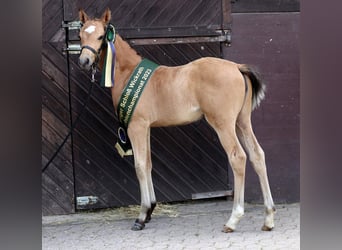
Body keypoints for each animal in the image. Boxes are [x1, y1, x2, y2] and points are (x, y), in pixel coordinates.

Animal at [77, 7, 276, 233]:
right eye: (80, 35)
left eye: (101, 36)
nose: (84, 61)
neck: (128, 73)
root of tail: (237, 67)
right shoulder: (146, 128)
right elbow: (148, 164)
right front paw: (150, 210)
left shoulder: (136, 126)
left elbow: (139, 165)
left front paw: (141, 216)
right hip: (242, 122)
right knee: (257, 155)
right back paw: (268, 218)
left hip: (223, 124)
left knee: (238, 157)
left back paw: (233, 219)